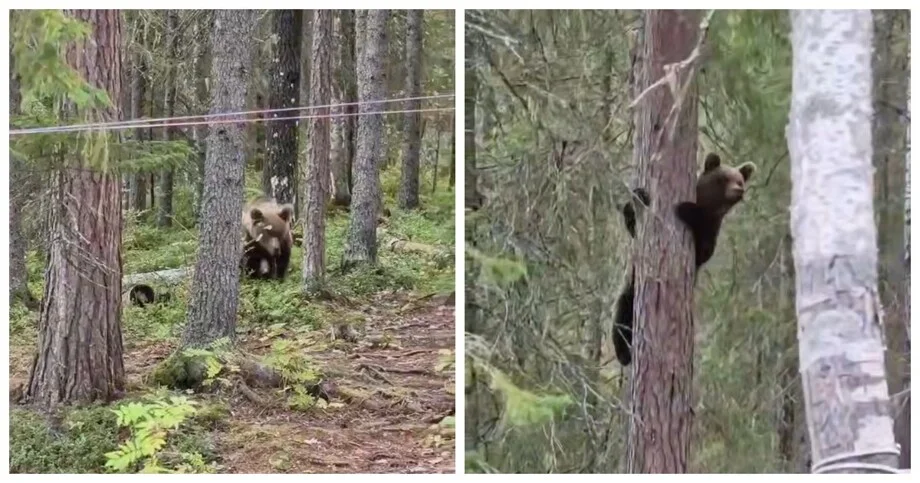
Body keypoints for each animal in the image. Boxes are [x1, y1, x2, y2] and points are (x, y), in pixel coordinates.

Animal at [612, 153, 756, 367]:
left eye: (739, 180)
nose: (739, 191)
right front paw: (638, 197)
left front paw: (685, 208)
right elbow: (633, 225)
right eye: (723, 178)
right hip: (630, 287)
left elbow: (704, 249)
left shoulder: (711, 229)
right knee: (621, 317)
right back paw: (624, 353)